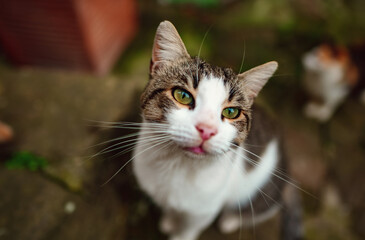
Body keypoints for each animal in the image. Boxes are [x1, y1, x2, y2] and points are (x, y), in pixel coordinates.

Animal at [131, 20, 298, 240]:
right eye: (182, 95)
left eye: (231, 112)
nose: (207, 130)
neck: (177, 166)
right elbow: (172, 210)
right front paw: (170, 220)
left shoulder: (203, 210)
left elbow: (188, 229)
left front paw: (178, 231)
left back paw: (231, 220)